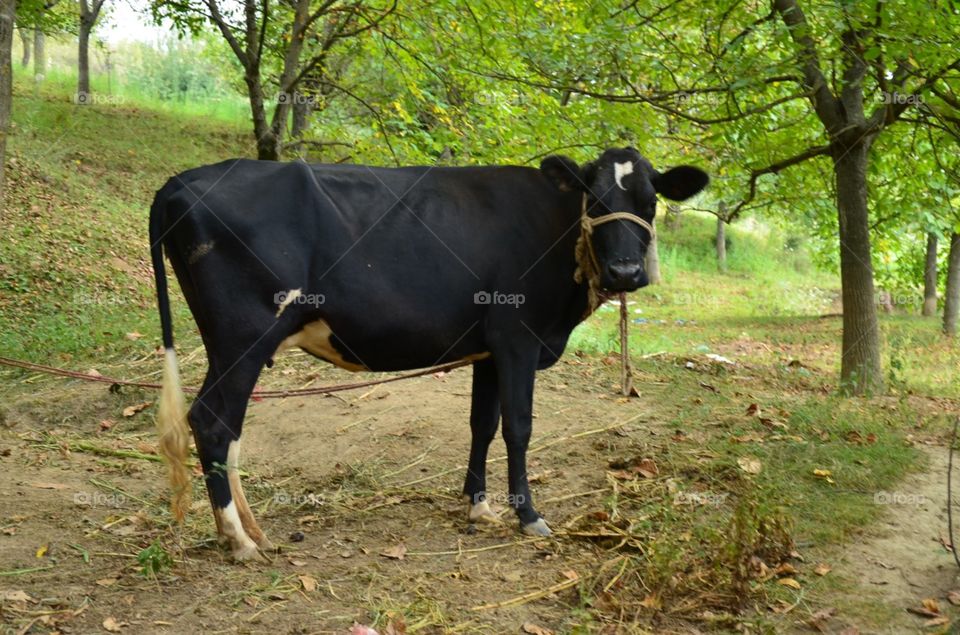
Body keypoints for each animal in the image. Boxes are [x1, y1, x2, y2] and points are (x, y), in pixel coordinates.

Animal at [149, 147, 708, 561]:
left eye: (650, 199)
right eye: (594, 199)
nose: (625, 272)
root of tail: (179, 180)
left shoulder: (488, 348)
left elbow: (482, 423)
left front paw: (478, 505)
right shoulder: (518, 338)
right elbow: (518, 426)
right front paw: (528, 515)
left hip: (232, 345)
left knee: (228, 429)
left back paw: (253, 530)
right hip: (243, 338)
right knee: (212, 422)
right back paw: (237, 539)